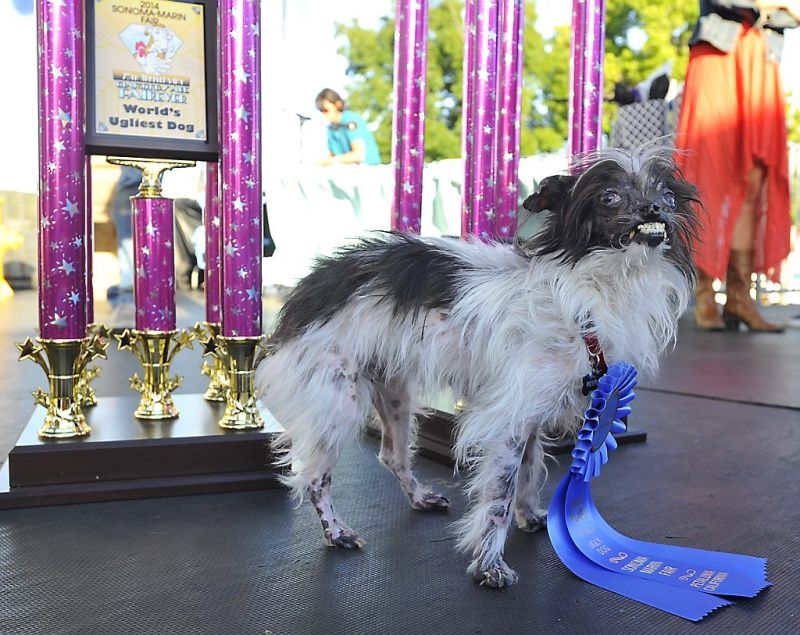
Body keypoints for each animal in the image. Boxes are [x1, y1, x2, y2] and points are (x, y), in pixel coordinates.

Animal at [258, 147, 700, 588]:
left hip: (395, 392)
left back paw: (420, 497)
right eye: (610, 197)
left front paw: (530, 516)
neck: (593, 290)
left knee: (392, 456)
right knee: (313, 477)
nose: (655, 208)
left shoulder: (531, 413)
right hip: (338, 403)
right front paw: (489, 565)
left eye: (668, 196)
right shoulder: (507, 421)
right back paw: (337, 533)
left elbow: (529, 470)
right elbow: (499, 496)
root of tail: (309, 289)